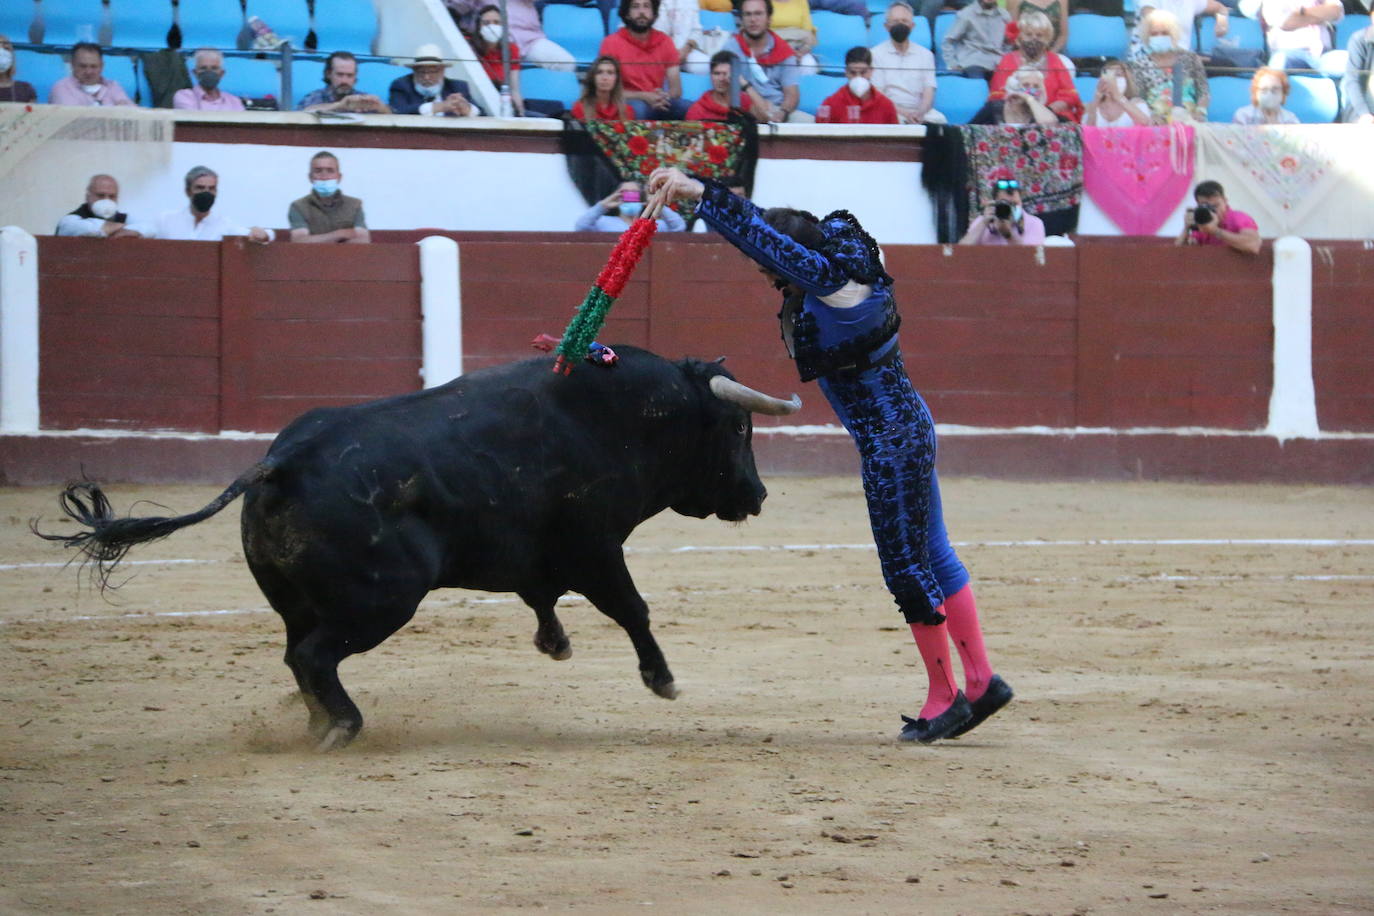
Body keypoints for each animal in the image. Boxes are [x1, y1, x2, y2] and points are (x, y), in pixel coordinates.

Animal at [37, 347, 802, 747]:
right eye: (739, 429)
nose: (758, 494)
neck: (622, 416)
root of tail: (282, 461)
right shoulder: (596, 547)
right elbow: (632, 608)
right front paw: (661, 679)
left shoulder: (540, 557)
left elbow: (542, 596)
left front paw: (554, 643)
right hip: (382, 601)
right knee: (315, 657)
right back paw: (341, 728)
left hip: (297, 601)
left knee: (296, 654)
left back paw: (318, 723)